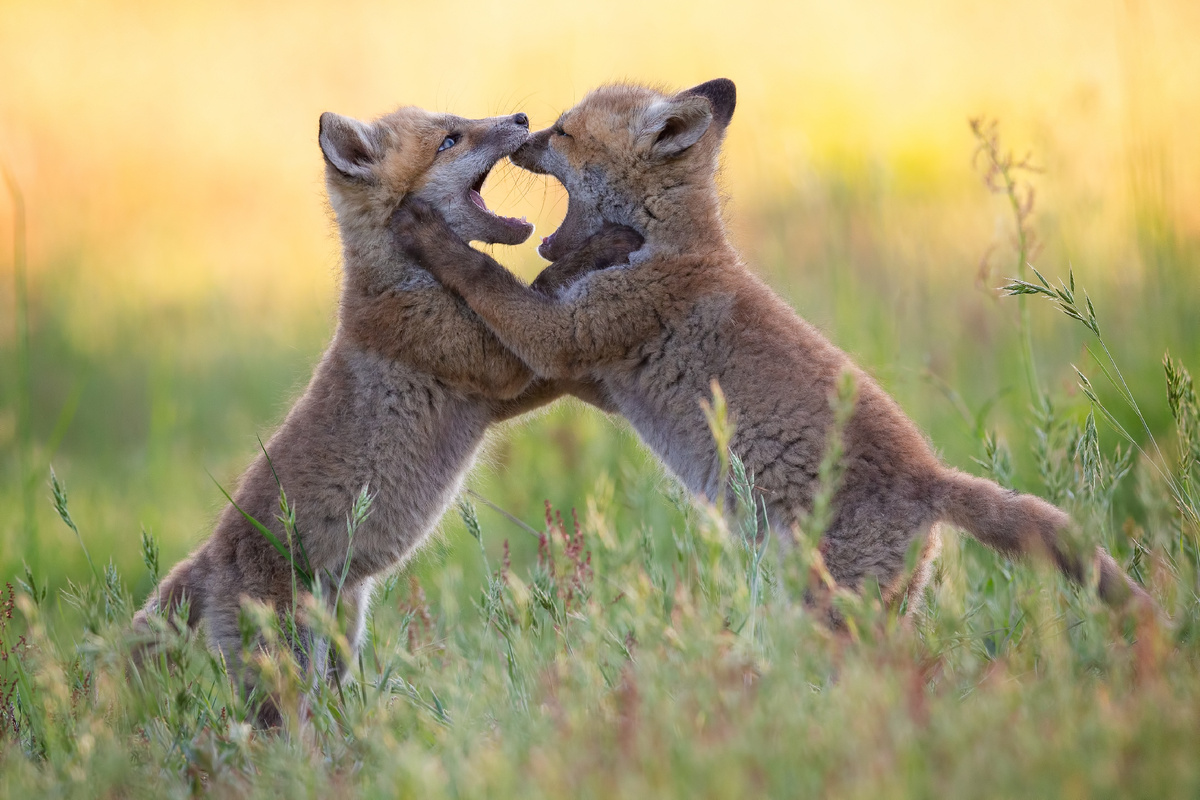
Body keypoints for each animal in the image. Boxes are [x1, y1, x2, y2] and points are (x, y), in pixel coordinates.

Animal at [132, 104, 641, 723]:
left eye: (461, 122)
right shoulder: (499, 368)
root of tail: (207, 559)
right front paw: (606, 246)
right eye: (450, 141)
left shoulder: (501, 391)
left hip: (341, 643)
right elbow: (539, 286)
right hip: (287, 674)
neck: (403, 280)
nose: (521, 116)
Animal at [391, 78, 1155, 617]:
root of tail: (933, 479)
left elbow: (487, 279)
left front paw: (430, 236)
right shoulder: (588, 374)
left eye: (566, 131)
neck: (671, 248)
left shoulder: (568, 340)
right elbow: (537, 291)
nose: (522, 128)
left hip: (834, 608)